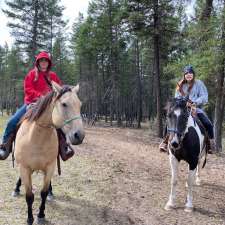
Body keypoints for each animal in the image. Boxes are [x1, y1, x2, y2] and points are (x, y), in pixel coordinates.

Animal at [14, 81, 84, 224]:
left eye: (80, 105)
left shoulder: (50, 166)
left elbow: (44, 193)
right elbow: (29, 196)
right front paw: (30, 218)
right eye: (64, 104)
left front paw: (41, 215)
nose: (79, 136)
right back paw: (16, 188)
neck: (37, 137)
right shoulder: (24, 168)